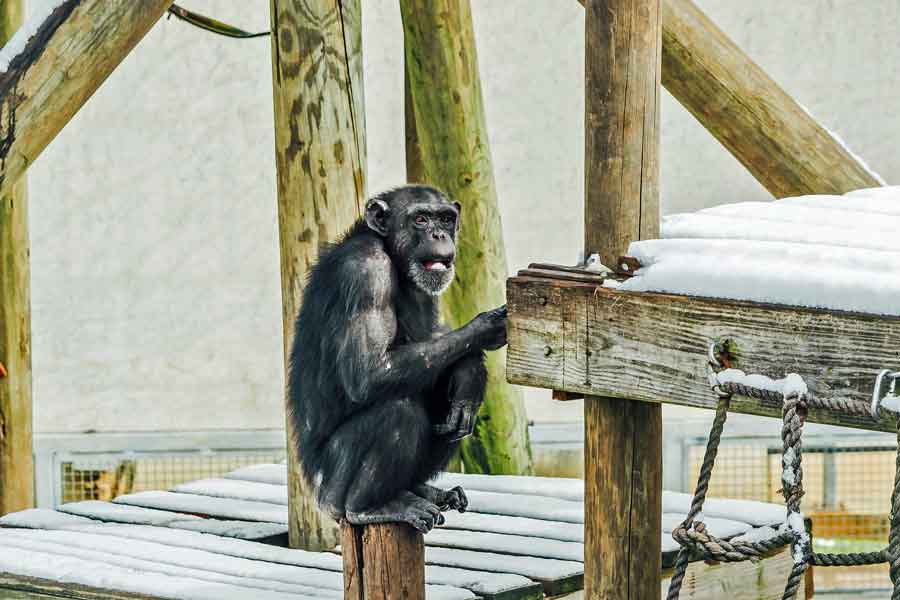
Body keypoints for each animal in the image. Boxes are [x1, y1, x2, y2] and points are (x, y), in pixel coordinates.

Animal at [288, 185, 506, 532]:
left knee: (454, 414)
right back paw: (370, 506)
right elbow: (368, 373)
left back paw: (423, 489)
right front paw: (485, 328)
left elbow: (438, 336)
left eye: (446, 219)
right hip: (331, 487)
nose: (438, 234)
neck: (391, 253)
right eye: (420, 219)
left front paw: (471, 372)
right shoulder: (365, 273)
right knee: (397, 412)